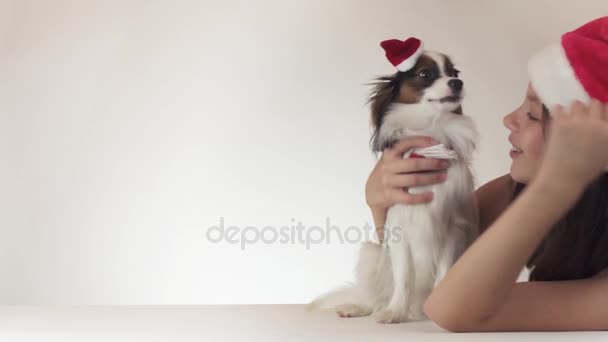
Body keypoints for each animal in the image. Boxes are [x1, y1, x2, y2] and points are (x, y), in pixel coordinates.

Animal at [308, 38, 480, 324]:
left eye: (454, 72)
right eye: (426, 74)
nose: (458, 83)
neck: (430, 135)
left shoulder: (451, 230)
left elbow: (443, 273)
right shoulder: (399, 231)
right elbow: (403, 278)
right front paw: (395, 311)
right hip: (372, 252)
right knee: (376, 294)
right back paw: (361, 307)